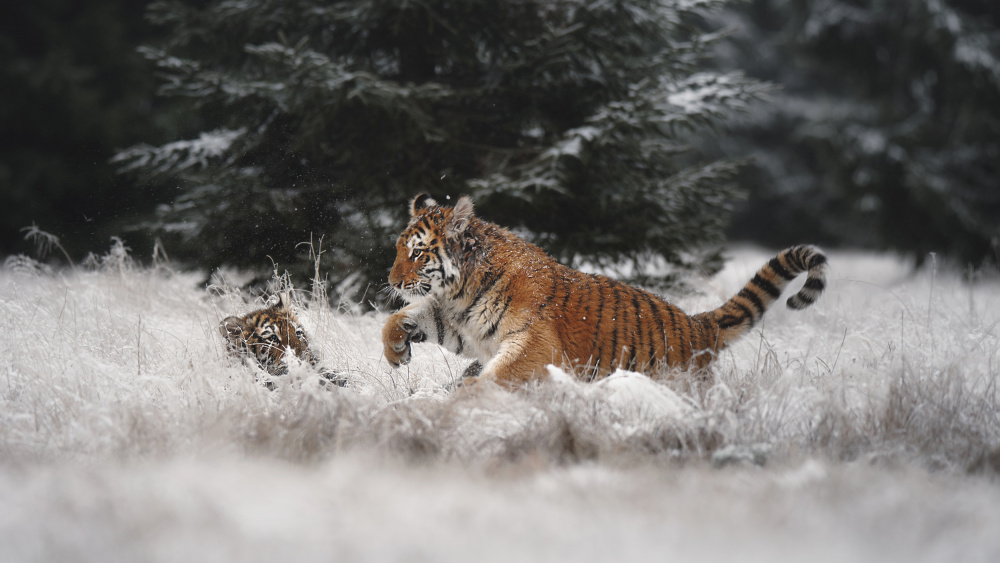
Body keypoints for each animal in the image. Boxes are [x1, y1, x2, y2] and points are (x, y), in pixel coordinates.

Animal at [382, 194, 828, 388]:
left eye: (417, 253)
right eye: (399, 249)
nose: (392, 281)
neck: (461, 289)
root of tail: (700, 324)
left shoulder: (534, 342)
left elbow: (501, 373)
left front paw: (467, 393)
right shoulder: (459, 321)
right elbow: (402, 317)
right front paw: (397, 351)